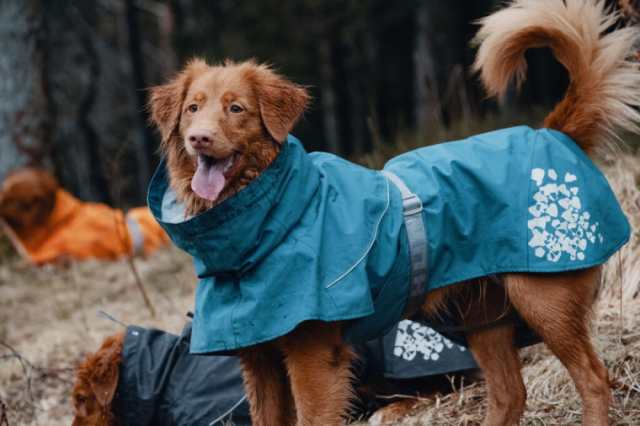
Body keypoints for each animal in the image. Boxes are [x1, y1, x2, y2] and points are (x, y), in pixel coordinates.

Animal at [146, 1, 640, 424]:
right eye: (192, 109)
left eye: (236, 109)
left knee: (594, 379)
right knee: (509, 393)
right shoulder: (259, 360)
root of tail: (554, 133)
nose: (199, 138)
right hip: (482, 317)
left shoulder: (313, 357)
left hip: (544, 300)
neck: (269, 223)